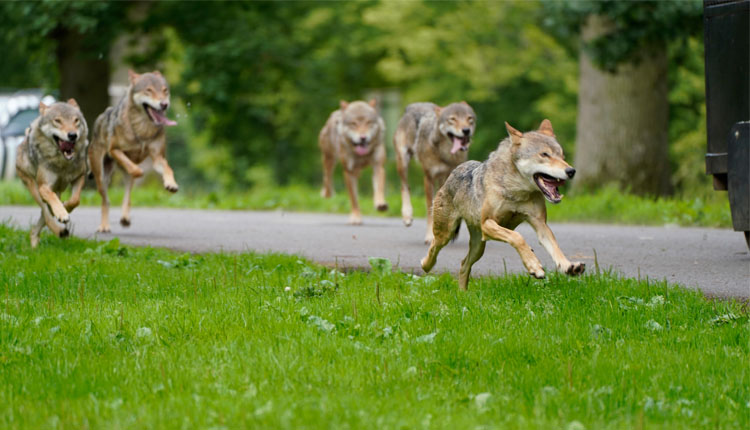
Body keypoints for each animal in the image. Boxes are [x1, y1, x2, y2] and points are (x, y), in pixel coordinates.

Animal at [15, 99, 89, 247]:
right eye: (58, 121)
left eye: (76, 120)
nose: (72, 135)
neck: (62, 163)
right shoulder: (44, 187)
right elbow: (53, 200)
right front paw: (62, 213)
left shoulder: (79, 177)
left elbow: (75, 200)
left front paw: (66, 207)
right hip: (35, 189)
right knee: (47, 214)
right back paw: (60, 231)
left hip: (57, 191)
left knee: (37, 225)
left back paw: (35, 244)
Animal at [88, 69, 179, 232]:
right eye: (149, 90)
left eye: (165, 91)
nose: (164, 104)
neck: (143, 129)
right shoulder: (114, 150)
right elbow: (134, 168)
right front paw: (139, 171)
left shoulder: (157, 158)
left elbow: (168, 169)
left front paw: (171, 184)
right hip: (101, 177)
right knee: (106, 201)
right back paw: (104, 226)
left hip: (124, 180)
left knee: (127, 197)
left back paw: (125, 218)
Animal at [394, 100, 476, 242]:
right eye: (452, 119)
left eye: (469, 118)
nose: (466, 130)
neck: (445, 155)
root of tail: (414, 105)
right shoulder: (429, 178)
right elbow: (429, 208)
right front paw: (430, 236)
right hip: (403, 161)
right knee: (404, 186)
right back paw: (407, 216)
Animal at [420, 119, 584, 290]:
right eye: (545, 155)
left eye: (562, 156)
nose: (571, 171)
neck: (517, 191)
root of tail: (456, 170)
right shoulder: (488, 224)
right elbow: (518, 237)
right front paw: (534, 266)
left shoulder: (540, 225)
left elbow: (555, 248)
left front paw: (569, 266)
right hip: (446, 233)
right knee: (434, 246)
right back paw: (425, 265)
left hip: (478, 247)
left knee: (464, 264)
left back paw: (462, 294)